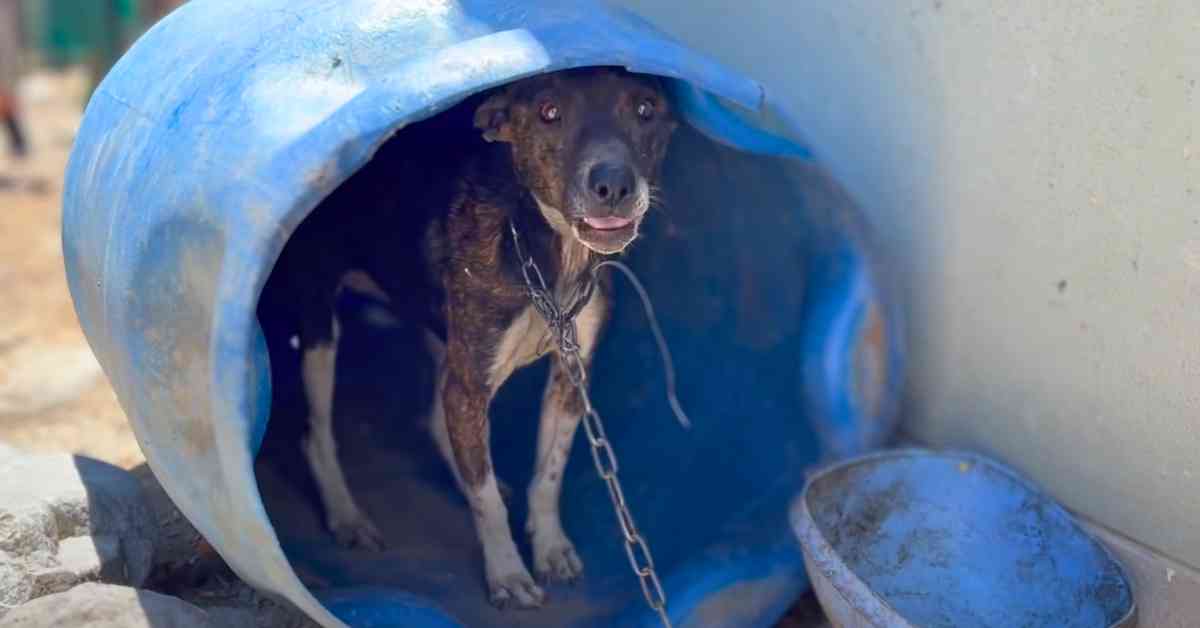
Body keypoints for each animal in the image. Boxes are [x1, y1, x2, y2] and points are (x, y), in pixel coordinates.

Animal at [261, 67, 676, 609]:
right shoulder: (472, 382)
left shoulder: (569, 373)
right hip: (319, 326)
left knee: (439, 421)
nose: (613, 184)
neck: (547, 260)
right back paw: (347, 516)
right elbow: (486, 502)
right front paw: (508, 573)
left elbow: (549, 473)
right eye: (548, 112)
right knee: (318, 434)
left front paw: (550, 548)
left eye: (645, 109)